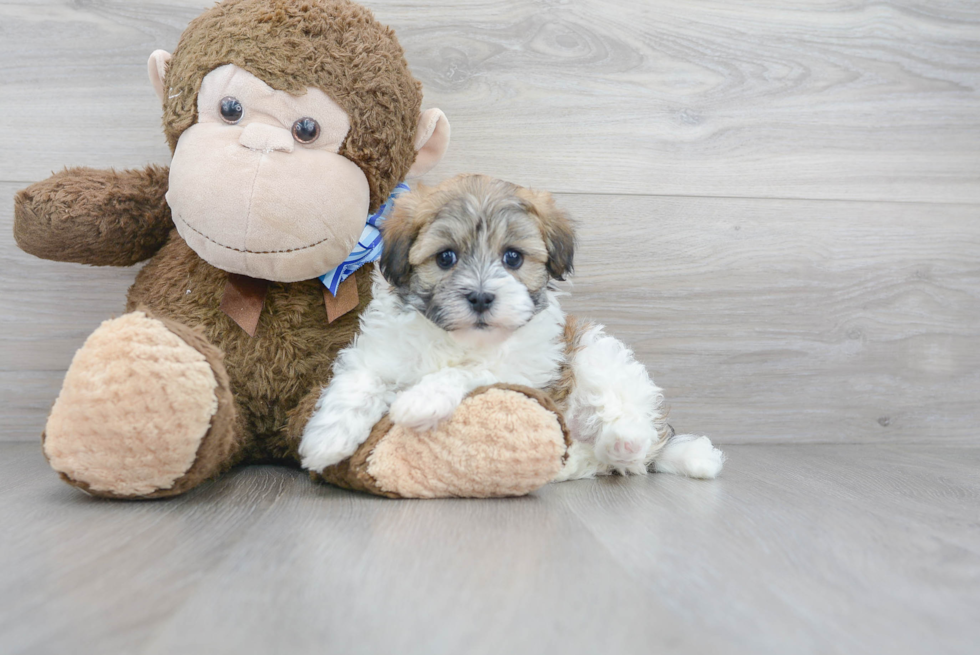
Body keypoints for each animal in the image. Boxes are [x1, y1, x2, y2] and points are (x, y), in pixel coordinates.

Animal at [294, 174, 724, 482]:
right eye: (446, 258)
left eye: (513, 258)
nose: (482, 297)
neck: (457, 338)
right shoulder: (380, 352)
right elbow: (360, 381)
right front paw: (325, 439)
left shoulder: (522, 371)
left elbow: (469, 372)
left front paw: (422, 399)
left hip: (597, 354)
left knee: (630, 426)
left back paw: (627, 442)